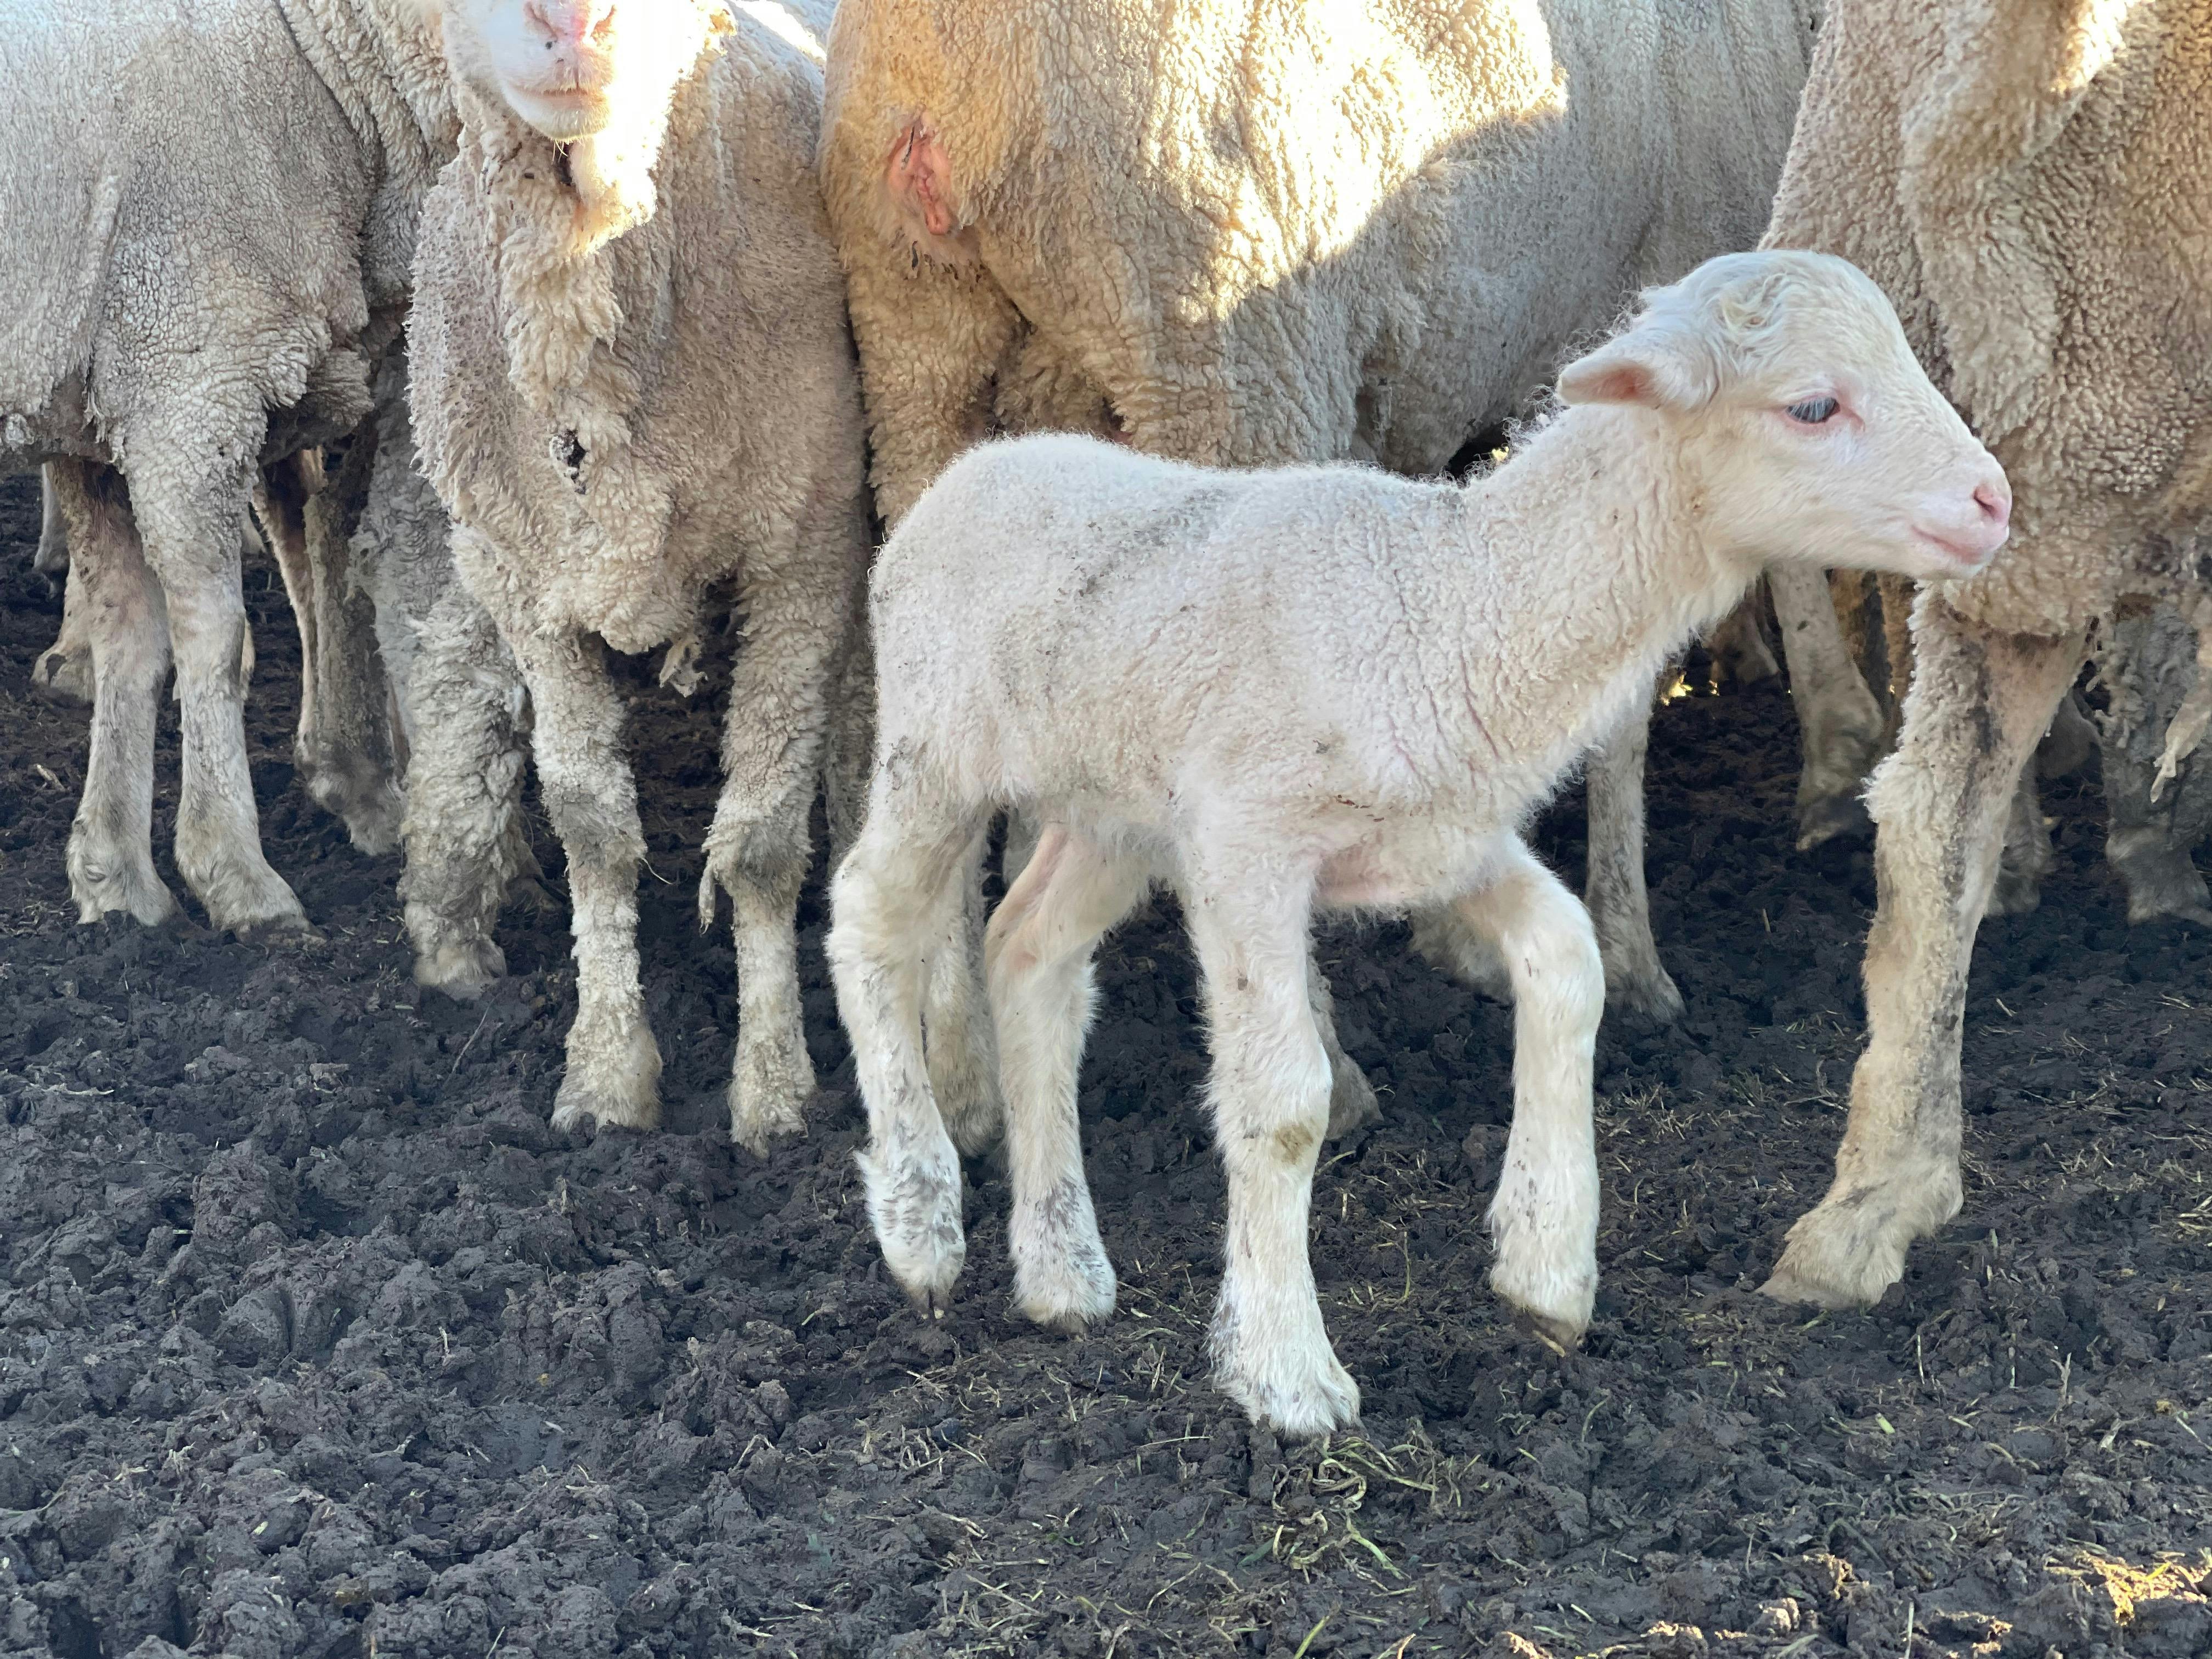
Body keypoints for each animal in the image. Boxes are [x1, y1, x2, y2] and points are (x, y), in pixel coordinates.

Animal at [0, 0, 452, 933]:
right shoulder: (189, 382)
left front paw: (115, 873)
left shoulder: (111, 400)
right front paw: (234, 870)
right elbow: (212, 631)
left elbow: (132, 631)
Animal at [406, 0, 869, 1149]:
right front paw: (608, 1074)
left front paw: (774, 1089)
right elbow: (592, 827)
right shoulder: (529, 585)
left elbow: (758, 845)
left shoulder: (802, 553)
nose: (574, 23)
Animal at [818, 0, 1828, 1056]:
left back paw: (962, 1058)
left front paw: (1450, 933)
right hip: (1228, 357)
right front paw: (1632, 960)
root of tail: (955, 72)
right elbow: (1618, 717)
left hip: (918, 350)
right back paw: (1331, 1062)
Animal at [828, 250, 2013, 1435]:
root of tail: (972, 474)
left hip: (1110, 810)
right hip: (935, 750)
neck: (1448, 602)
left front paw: (1545, 1265)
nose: (1993, 501)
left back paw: (1062, 1267)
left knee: (1028, 952)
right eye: (1813, 406)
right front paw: (1285, 1369)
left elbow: (1570, 965)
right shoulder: (1246, 843)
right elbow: (1282, 1100)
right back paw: (921, 1218)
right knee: (868, 918)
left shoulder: (1449, 837)